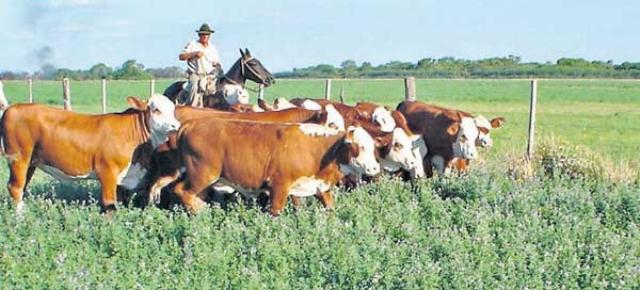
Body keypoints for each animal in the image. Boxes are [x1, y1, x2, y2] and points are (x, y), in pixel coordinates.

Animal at [0, 94, 180, 214]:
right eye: (156, 110)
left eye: (173, 109)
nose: (175, 126)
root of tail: (13, 108)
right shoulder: (107, 172)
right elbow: (109, 204)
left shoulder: (123, 178)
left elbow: (121, 201)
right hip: (18, 158)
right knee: (15, 187)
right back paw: (20, 219)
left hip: (31, 162)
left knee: (22, 187)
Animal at [170, 118, 380, 215]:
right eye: (360, 146)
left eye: (372, 147)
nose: (375, 169)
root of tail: (192, 123)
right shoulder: (279, 186)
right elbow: (275, 211)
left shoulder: (315, 186)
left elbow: (327, 207)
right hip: (202, 174)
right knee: (183, 191)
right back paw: (198, 214)